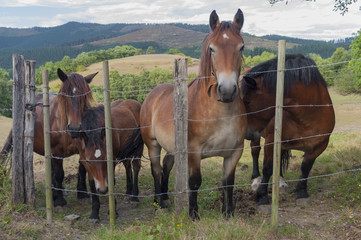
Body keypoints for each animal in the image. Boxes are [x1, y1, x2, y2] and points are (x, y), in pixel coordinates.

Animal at [139, 8, 246, 219]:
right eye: (212, 49)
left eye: (241, 48)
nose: (227, 91)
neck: (222, 115)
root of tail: (152, 94)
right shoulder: (194, 152)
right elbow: (195, 182)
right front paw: (193, 214)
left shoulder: (234, 152)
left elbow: (228, 182)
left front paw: (228, 212)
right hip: (152, 144)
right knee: (156, 170)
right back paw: (158, 202)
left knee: (166, 165)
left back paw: (165, 198)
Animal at [240, 54, 336, 206]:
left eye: (248, 101)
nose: (247, 133)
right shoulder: (271, 141)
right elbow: (267, 168)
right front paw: (262, 196)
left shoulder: (318, 147)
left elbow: (305, 167)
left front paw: (302, 193)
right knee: (255, 151)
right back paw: (255, 180)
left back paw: (281, 182)